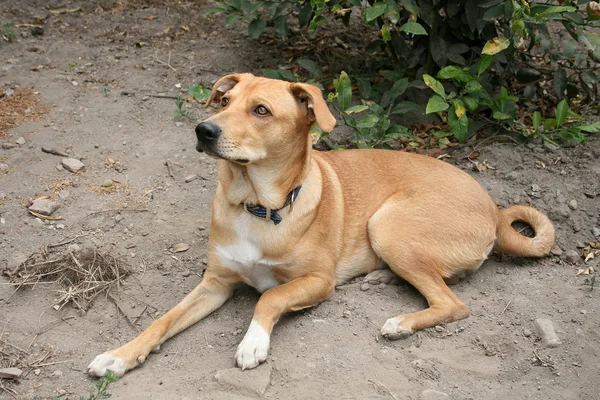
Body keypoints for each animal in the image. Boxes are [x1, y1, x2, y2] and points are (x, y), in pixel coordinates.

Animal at [86, 73, 556, 376]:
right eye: (224, 103)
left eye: (261, 110)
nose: (203, 130)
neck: (257, 206)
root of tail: (495, 209)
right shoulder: (214, 283)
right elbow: (162, 320)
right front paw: (120, 356)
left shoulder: (317, 281)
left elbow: (269, 297)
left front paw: (253, 342)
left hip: (388, 225)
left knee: (453, 304)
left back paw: (401, 323)